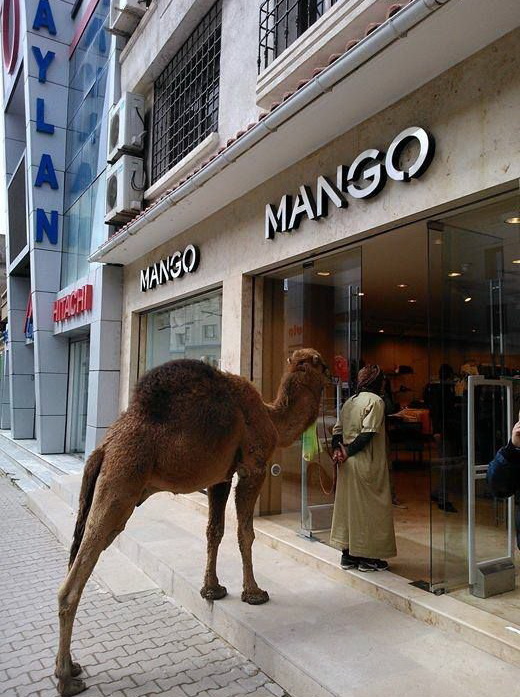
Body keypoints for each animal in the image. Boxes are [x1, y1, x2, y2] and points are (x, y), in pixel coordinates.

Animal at [55, 348, 329, 696]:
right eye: (322, 364)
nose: (338, 373)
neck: (271, 417)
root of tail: (103, 448)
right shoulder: (253, 468)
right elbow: (245, 532)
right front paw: (254, 593)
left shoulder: (221, 477)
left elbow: (215, 530)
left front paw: (212, 590)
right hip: (121, 481)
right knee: (75, 579)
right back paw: (66, 679)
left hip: (105, 489)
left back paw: (70, 666)